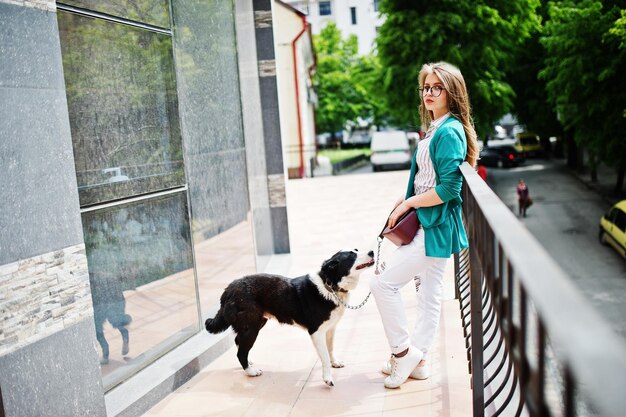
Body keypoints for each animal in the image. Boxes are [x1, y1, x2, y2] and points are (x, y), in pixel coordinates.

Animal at [205, 247, 372, 386]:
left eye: (356, 250)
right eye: (352, 256)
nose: (372, 252)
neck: (330, 285)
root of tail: (229, 289)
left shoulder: (331, 328)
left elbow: (330, 348)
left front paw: (335, 363)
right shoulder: (316, 332)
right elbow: (324, 355)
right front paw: (327, 378)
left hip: (256, 322)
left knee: (238, 341)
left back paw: (250, 362)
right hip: (251, 328)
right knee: (241, 352)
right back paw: (251, 372)